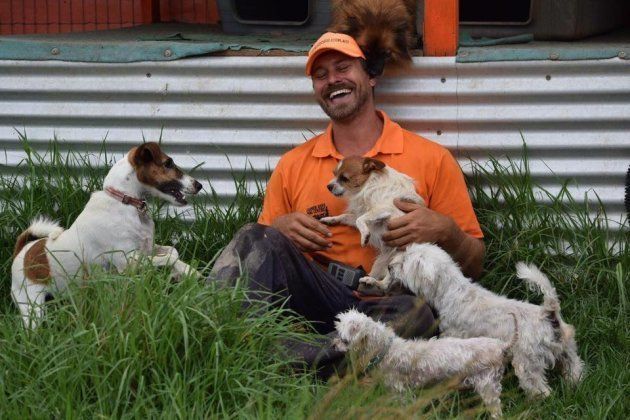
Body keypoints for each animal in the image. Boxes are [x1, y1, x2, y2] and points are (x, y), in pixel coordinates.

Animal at [11, 143, 204, 330]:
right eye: (168, 163)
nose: (199, 185)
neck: (125, 202)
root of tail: (21, 252)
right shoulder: (128, 261)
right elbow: (170, 256)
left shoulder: (147, 250)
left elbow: (173, 251)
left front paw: (187, 271)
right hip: (32, 308)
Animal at [320, 156, 424, 290]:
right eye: (334, 174)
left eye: (344, 178)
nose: (328, 186)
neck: (369, 185)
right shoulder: (360, 214)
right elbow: (346, 216)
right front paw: (330, 219)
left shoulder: (386, 209)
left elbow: (360, 220)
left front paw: (364, 236)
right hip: (381, 261)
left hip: (398, 260)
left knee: (386, 285)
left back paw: (373, 281)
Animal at [336, 308, 512, 416]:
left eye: (344, 340)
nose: (333, 345)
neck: (387, 350)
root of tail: (500, 345)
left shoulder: (401, 392)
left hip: (488, 387)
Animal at [390, 243, 588, 398]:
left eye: (404, 262)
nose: (390, 266)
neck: (452, 292)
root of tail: (549, 313)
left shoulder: (456, 336)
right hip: (568, 349)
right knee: (575, 368)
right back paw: (574, 386)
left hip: (528, 362)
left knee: (540, 389)